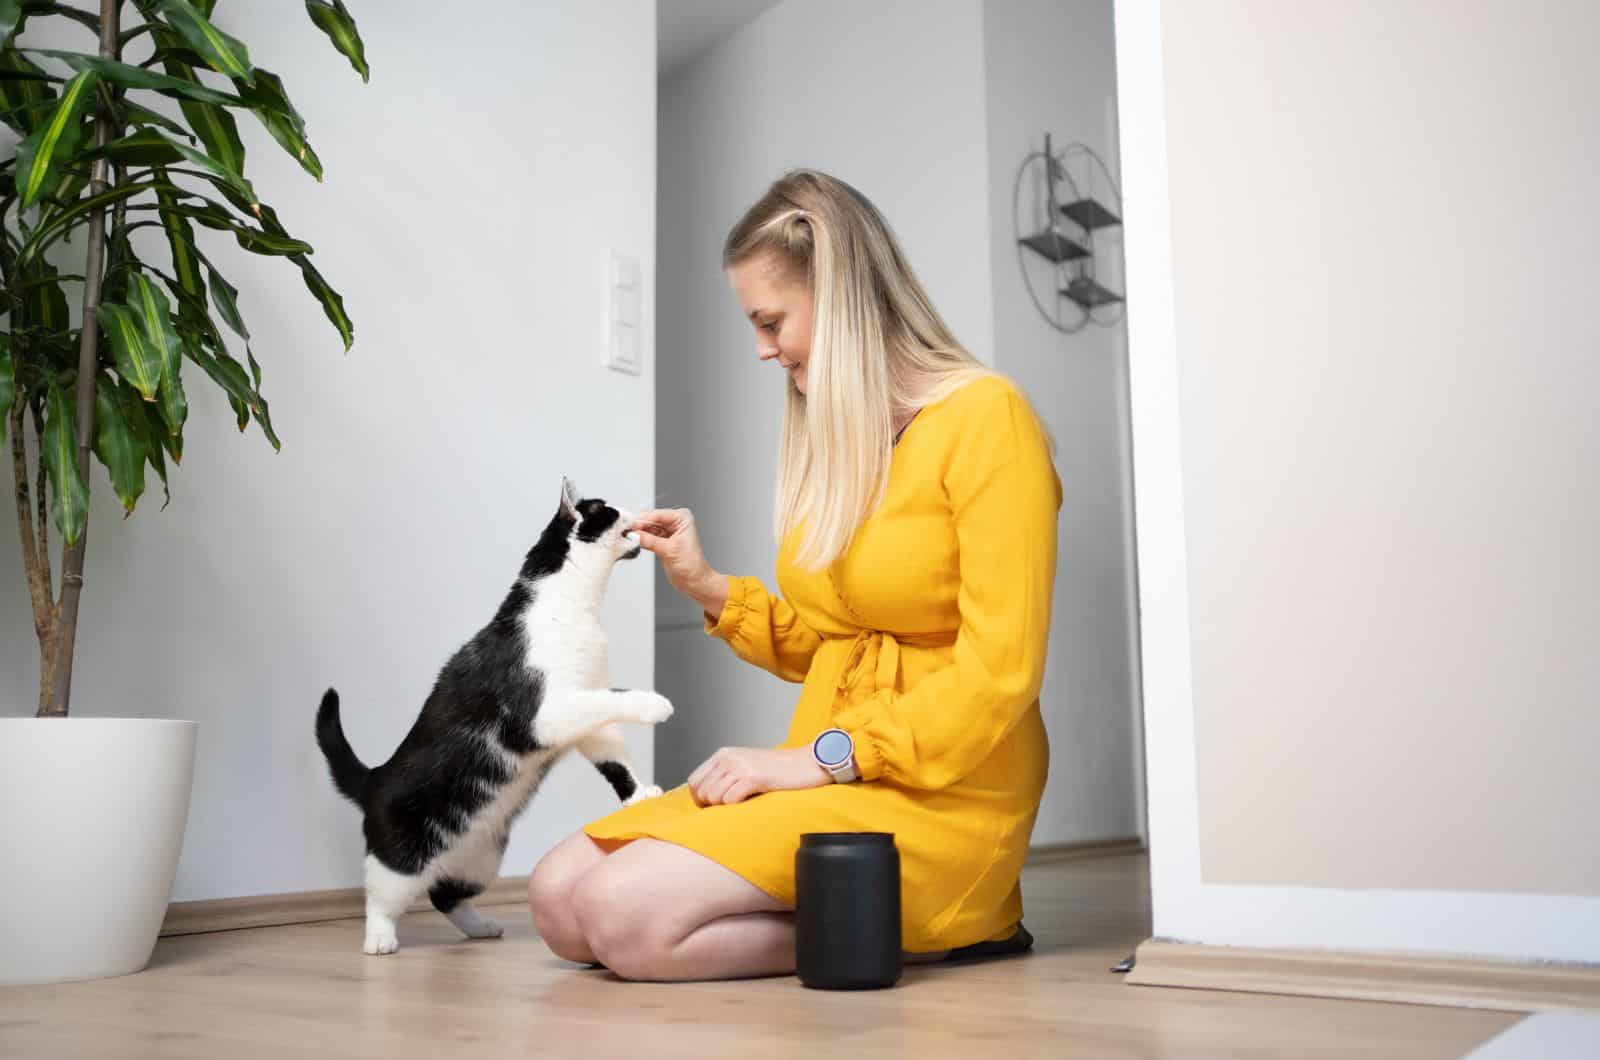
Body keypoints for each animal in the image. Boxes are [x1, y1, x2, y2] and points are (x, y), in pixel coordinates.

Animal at [315, 477, 672, 960]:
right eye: (605, 508)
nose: (633, 509)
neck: (574, 606)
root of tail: (374, 779)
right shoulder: (547, 711)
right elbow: (613, 699)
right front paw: (656, 704)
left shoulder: (585, 714)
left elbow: (613, 753)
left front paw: (638, 794)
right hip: (403, 855)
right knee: (382, 894)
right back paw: (380, 940)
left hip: (482, 858)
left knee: (445, 895)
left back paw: (480, 927)